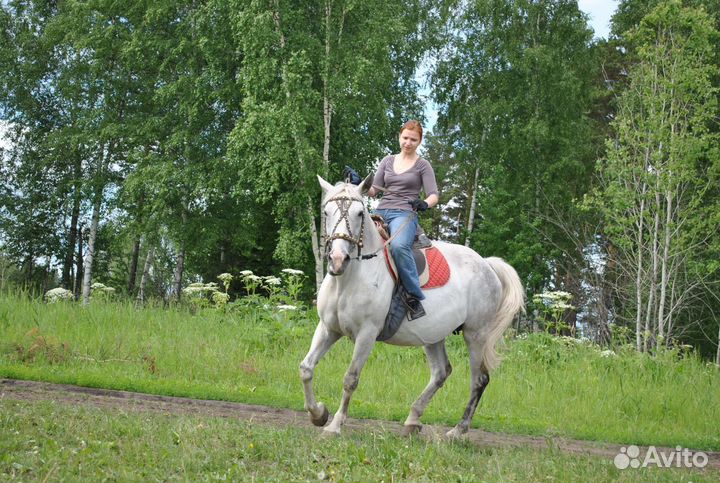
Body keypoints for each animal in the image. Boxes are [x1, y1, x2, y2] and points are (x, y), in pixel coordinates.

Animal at [299, 175, 525, 437]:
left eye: (359, 213)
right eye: (326, 212)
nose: (337, 260)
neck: (348, 280)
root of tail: (487, 265)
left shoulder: (367, 334)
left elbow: (350, 379)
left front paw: (335, 425)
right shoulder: (328, 328)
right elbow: (306, 368)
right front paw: (318, 414)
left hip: (476, 335)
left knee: (479, 379)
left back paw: (457, 431)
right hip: (434, 335)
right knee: (441, 372)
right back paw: (413, 420)